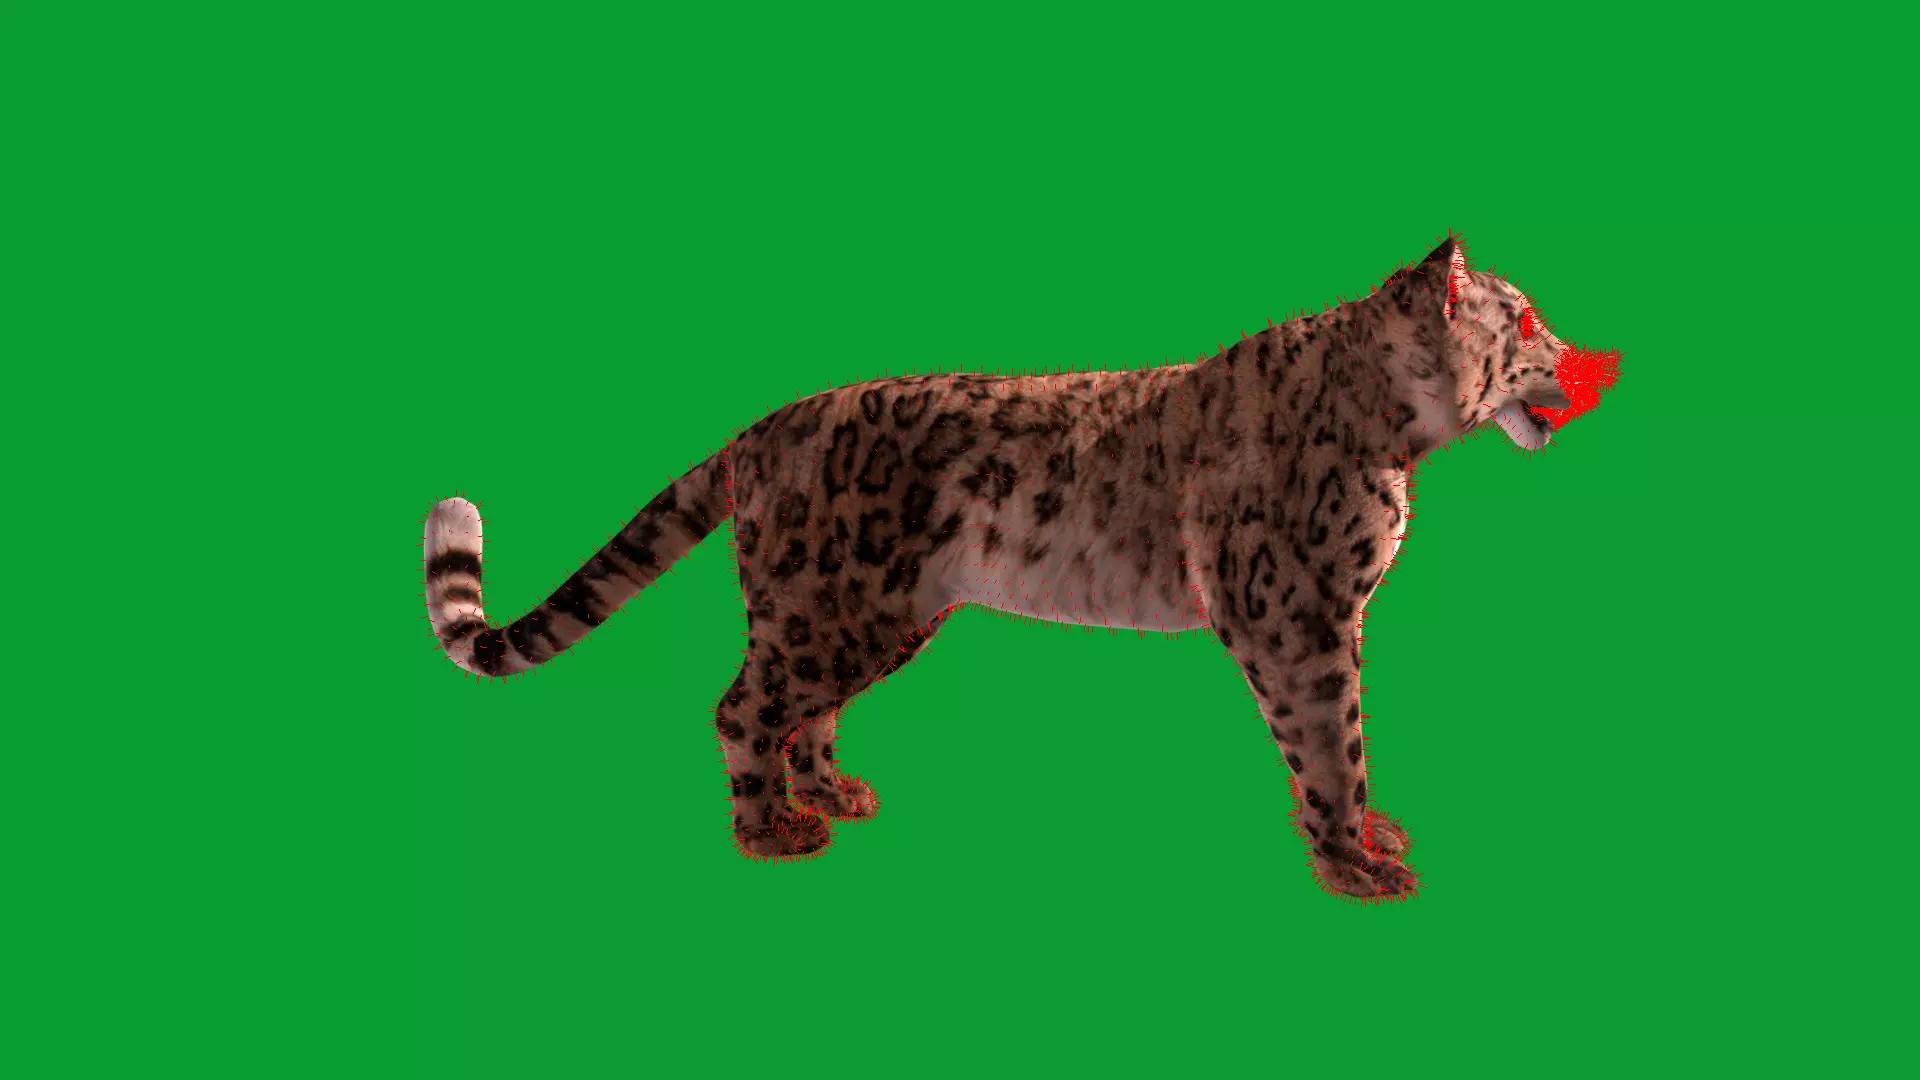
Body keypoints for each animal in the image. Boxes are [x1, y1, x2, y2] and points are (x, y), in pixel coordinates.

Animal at [420, 235, 1608, 900]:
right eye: (1525, 319)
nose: (1585, 361)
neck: (1399, 439)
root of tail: (761, 430)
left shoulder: (1337, 620)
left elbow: (1352, 740)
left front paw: (1366, 838)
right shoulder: (1297, 621)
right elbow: (1332, 746)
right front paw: (1355, 866)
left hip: (866, 617)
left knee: (805, 711)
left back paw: (833, 793)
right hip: (830, 610)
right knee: (744, 706)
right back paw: (771, 830)